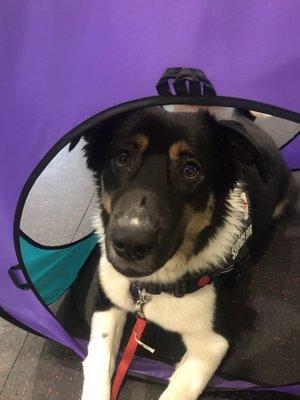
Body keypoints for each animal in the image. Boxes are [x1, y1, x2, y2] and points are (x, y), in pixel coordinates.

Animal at [79, 106, 296, 400]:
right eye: (122, 158)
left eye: (190, 169)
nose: (130, 244)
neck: (154, 285)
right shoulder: (107, 301)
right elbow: (98, 365)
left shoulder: (212, 342)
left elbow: (176, 393)